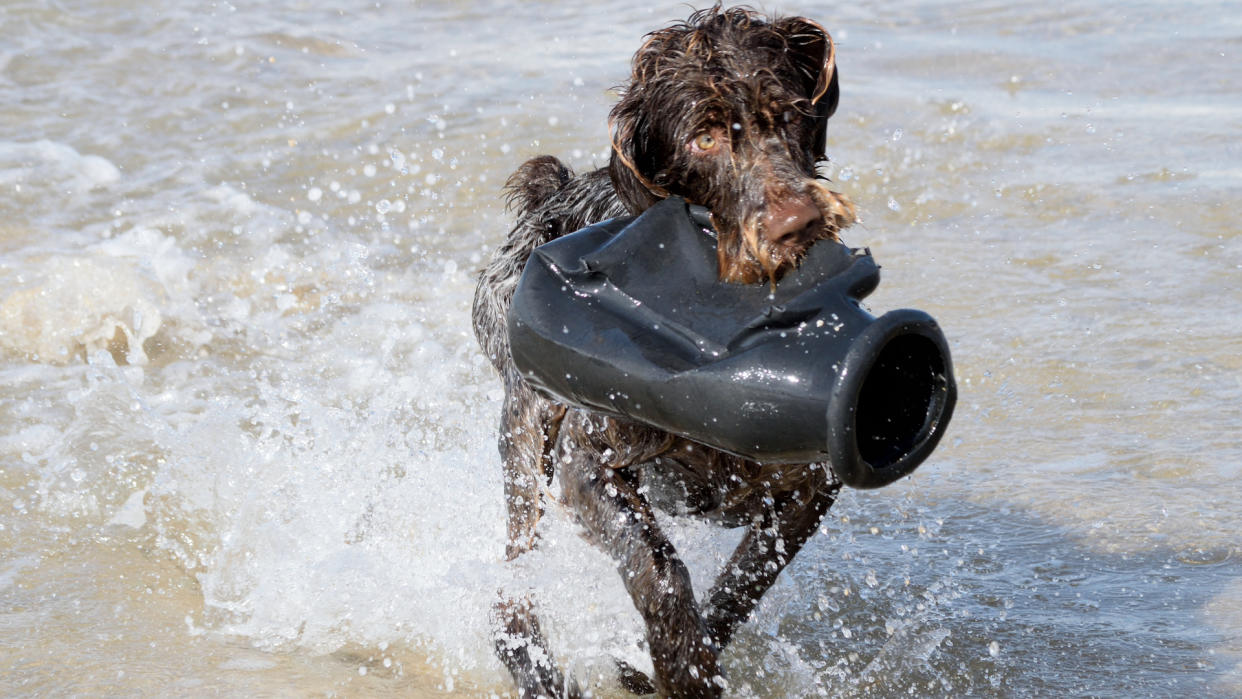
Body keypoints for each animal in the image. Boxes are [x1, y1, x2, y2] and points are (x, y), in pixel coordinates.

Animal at [469, 6, 859, 699]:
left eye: (790, 114)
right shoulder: (587, 465)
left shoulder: (810, 482)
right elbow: (662, 574)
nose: (798, 224)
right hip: (527, 433)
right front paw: (682, 670)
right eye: (703, 140)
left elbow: (744, 582)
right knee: (511, 590)